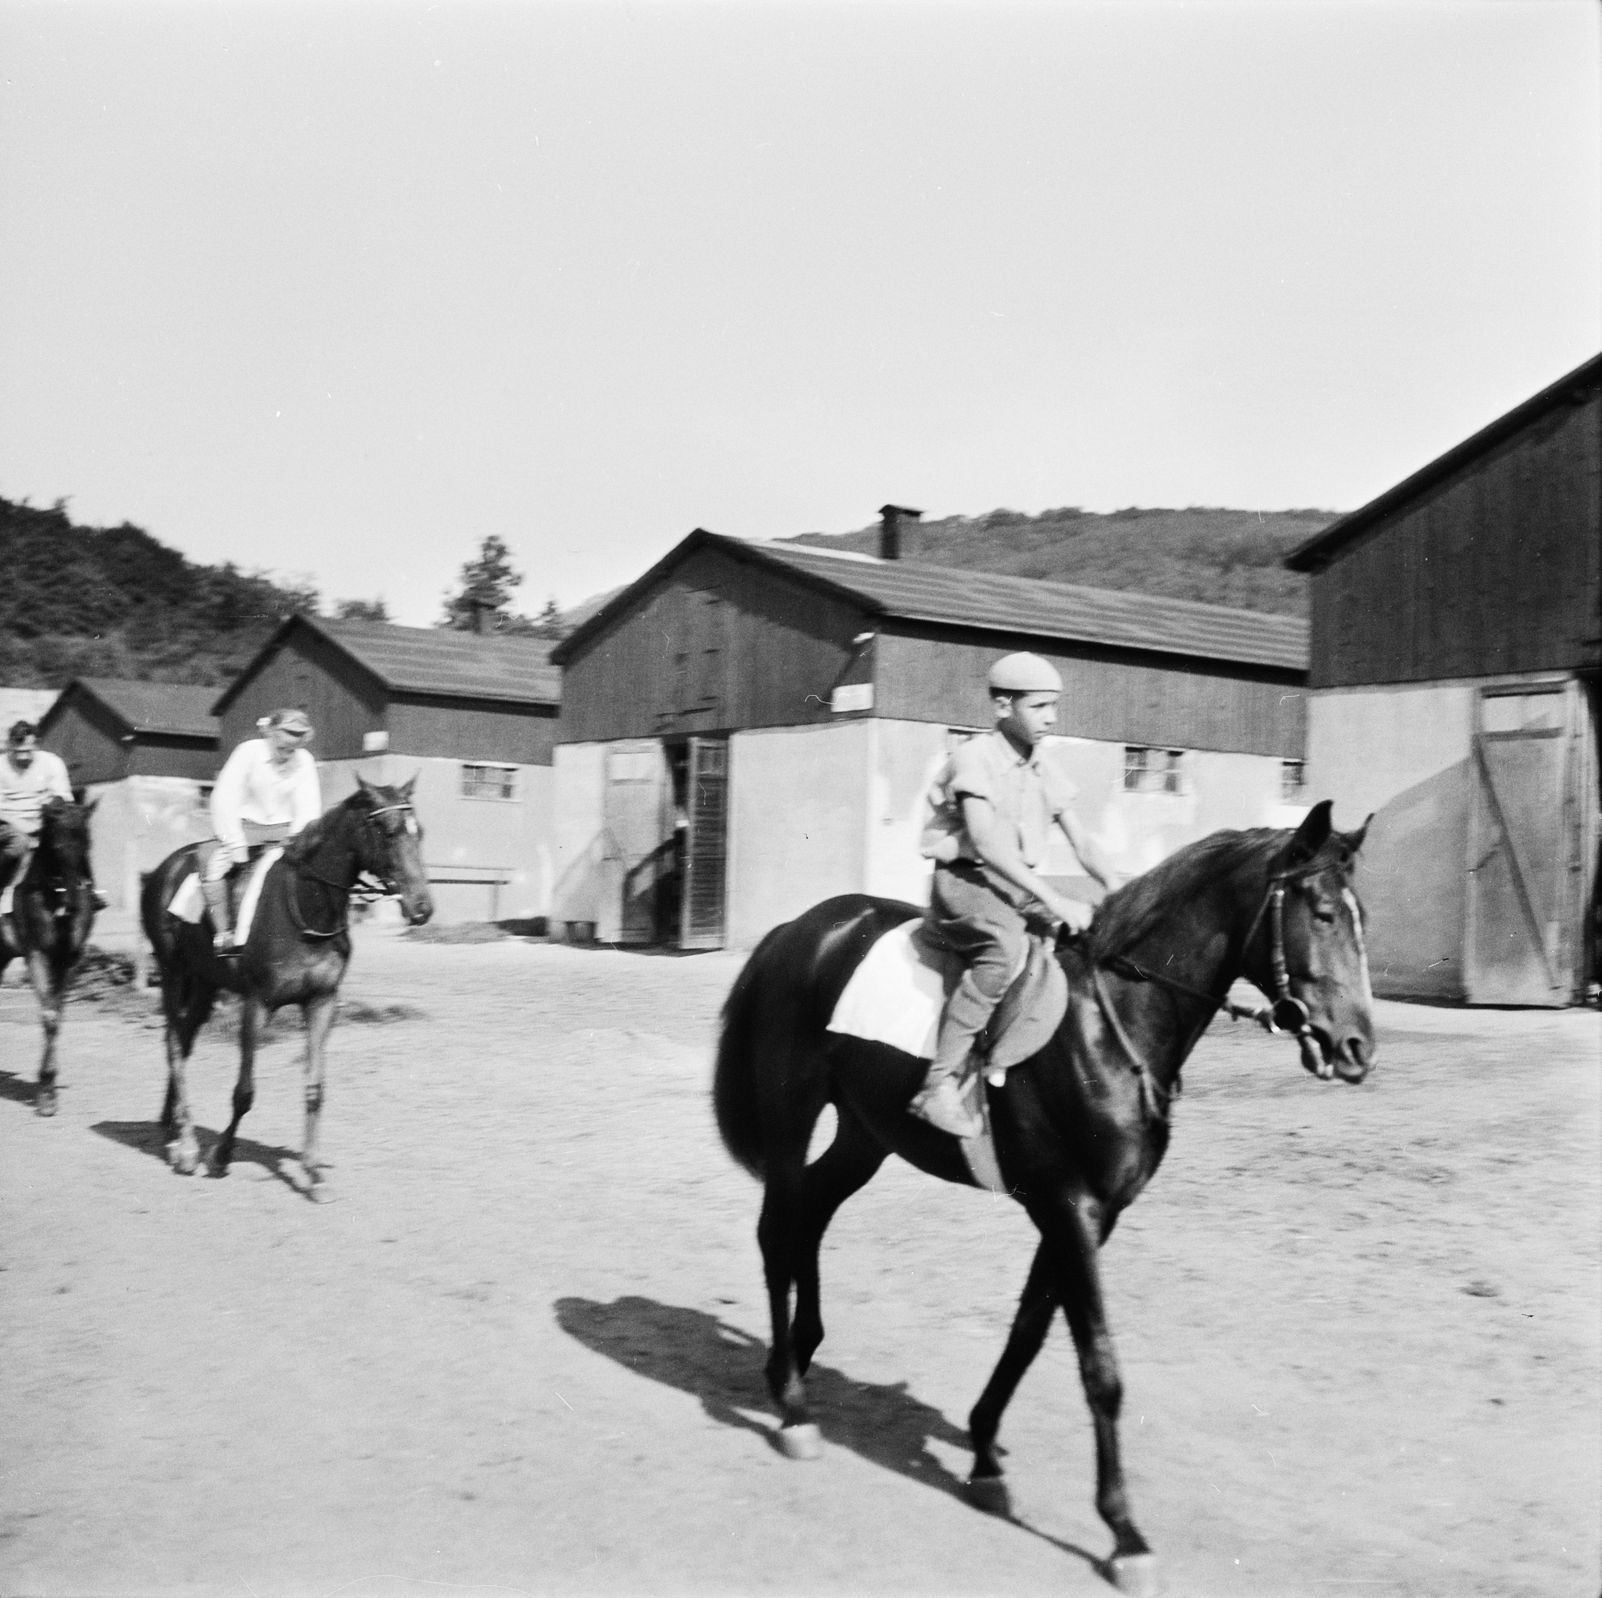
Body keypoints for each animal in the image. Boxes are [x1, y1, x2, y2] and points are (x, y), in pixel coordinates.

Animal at [0, 797, 99, 1120]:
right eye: (55, 845)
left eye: (87, 842)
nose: (73, 904)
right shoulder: (36, 955)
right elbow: (49, 1016)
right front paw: (45, 1094)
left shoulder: (68, 960)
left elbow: (57, 1015)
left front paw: (49, 1090)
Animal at [139, 774, 432, 1204]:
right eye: (387, 830)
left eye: (419, 831)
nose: (423, 907)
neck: (306, 908)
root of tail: (162, 870)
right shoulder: (257, 1004)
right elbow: (244, 1091)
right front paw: (221, 1155)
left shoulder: (322, 1002)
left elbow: (315, 1090)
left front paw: (313, 1173)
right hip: (173, 972)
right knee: (175, 1046)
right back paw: (189, 1147)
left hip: (205, 983)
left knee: (184, 1041)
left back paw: (173, 1127)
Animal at [717, 807, 1377, 1594]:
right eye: (1324, 912)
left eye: (1362, 916)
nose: (1358, 1047)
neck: (1112, 1023)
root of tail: (800, 928)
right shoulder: (1071, 1210)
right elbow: (1099, 1368)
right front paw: (1124, 1534)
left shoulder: (1089, 1216)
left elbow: (1028, 1333)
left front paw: (982, 1454)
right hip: (793, 1114)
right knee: (777, 1228)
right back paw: (791, 1404)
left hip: (865, 1134)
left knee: (812, 1214)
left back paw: (801, 1354)